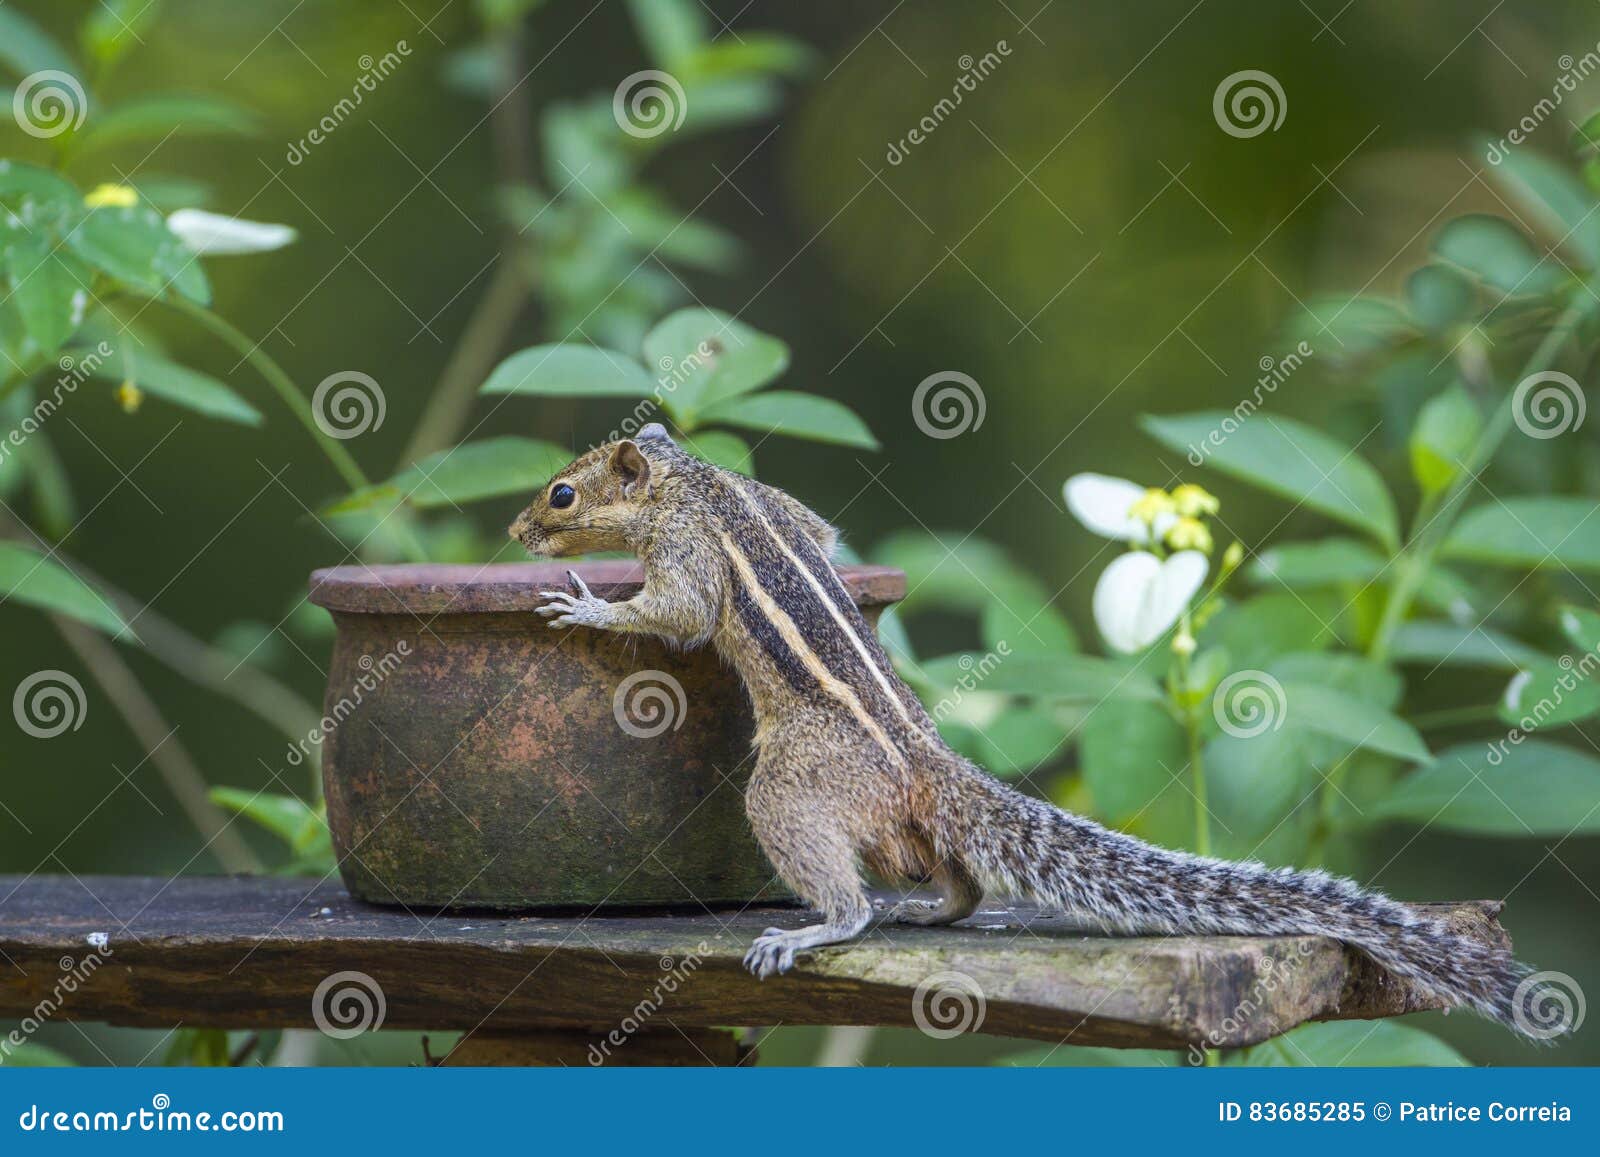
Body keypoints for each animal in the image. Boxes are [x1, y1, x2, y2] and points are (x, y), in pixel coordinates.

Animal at [512, 425, 1536, 1043]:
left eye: (562, 494)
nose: (520, 530)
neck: (695, 481)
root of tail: (927, 761)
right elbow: (823, 528)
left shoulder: (689, 552)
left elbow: (681, 615)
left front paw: (586, 605)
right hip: (905, 827)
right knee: (960, 880)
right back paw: (930, 910)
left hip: (794, 787)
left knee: (846, 894)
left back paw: (817, 928)